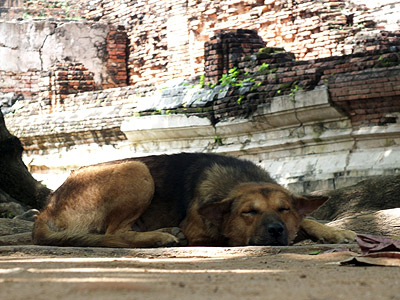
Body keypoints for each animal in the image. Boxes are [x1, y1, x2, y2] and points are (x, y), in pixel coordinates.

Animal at [32, 154, 354, 247]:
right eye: (248, 213)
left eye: (284, 209)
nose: (276, 231)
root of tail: (48, 205)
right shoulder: (200, 228)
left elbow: (309, 217)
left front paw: (333, 231)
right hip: (137, 169)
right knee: (114, 234)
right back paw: (159, 236)